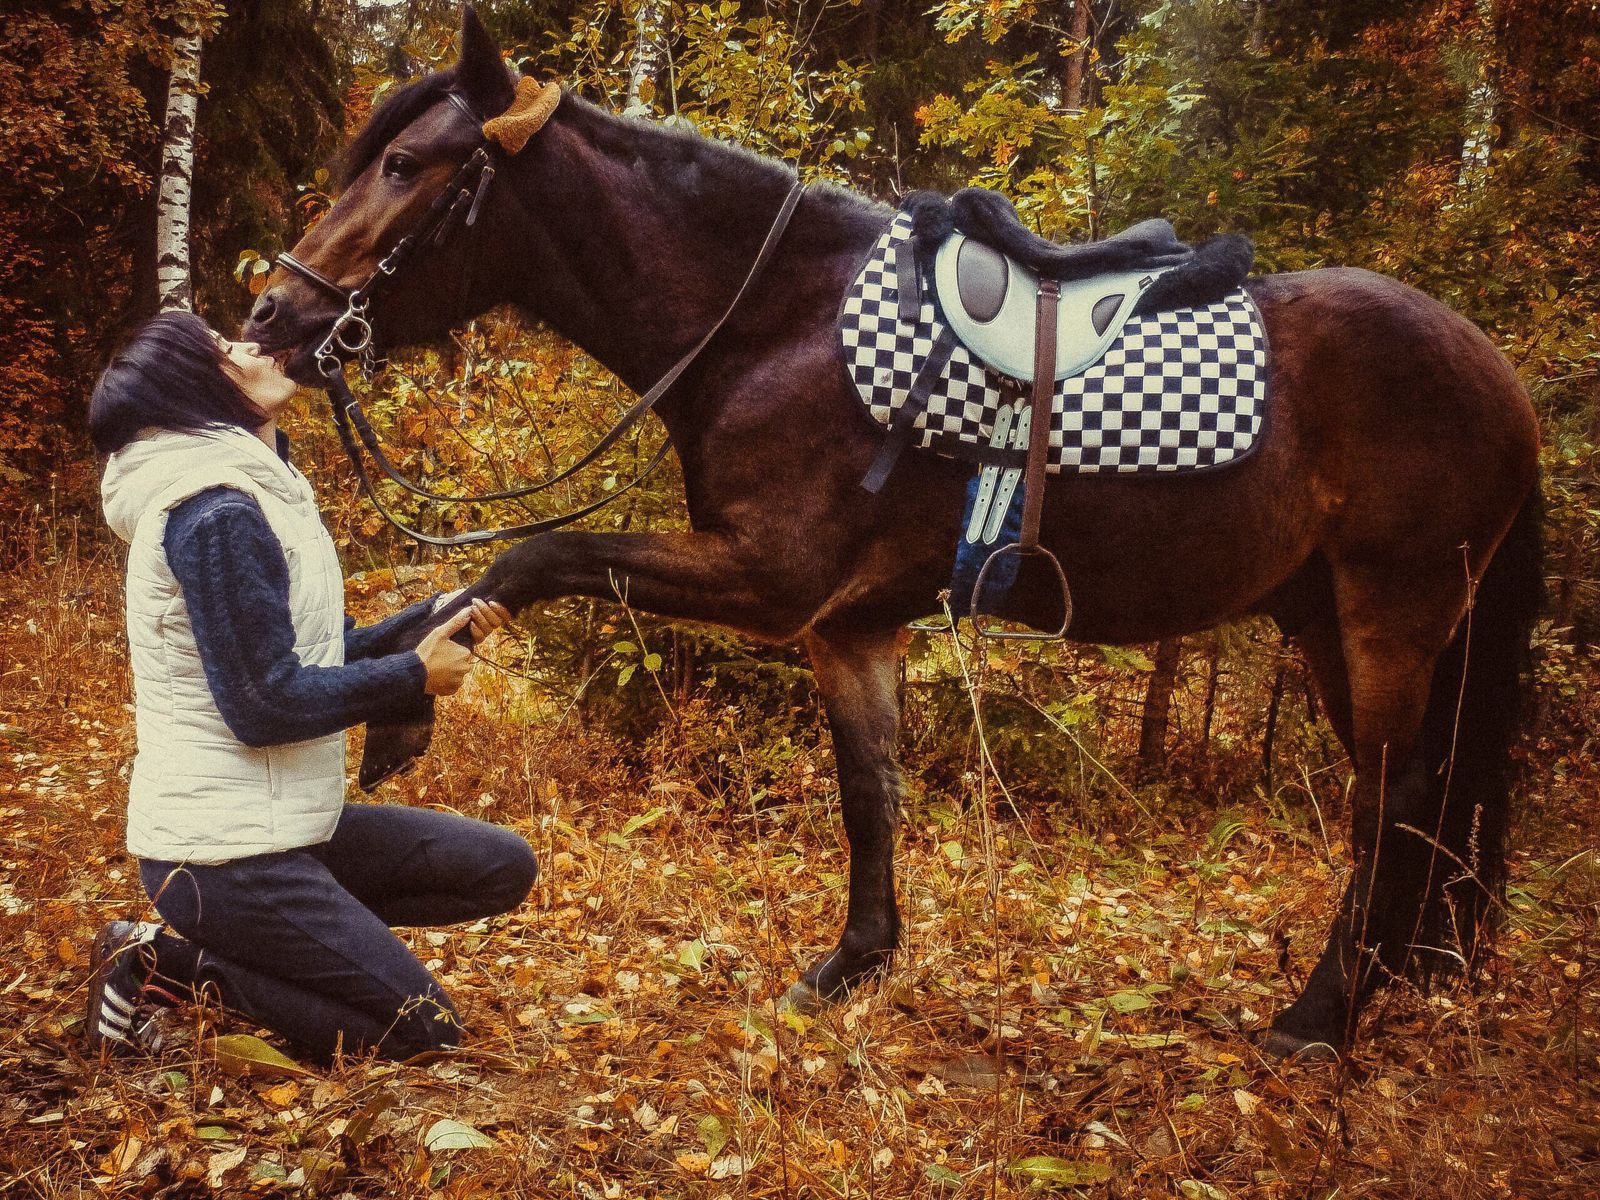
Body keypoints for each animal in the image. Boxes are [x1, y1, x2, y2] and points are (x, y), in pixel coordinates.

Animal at [246, 9, 1536, 1062]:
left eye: (405, 164)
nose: (275, 314)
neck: (777, 325)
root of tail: (1496, 376)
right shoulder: (847, 624)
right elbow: (869, 788)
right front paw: (853, 964)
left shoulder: (768, 581)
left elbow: (531, 559)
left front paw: (407, 711)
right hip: (1327, 617)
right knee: (1418, 798)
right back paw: (1390, 983)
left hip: (1391, 612)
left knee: (1395, 796)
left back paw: (1319, 1017)